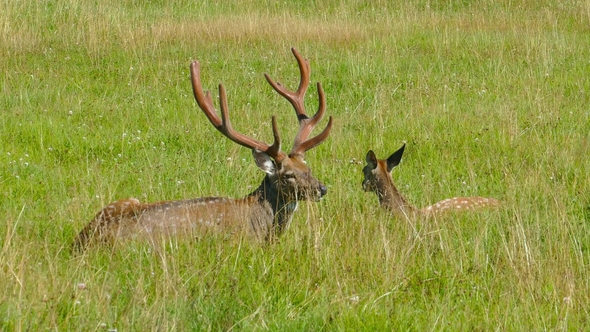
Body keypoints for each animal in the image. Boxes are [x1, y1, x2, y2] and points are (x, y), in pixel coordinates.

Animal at [74, 47, 332, 249]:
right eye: (288, 175)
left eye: (307, 168)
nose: (322, 188)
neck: (259, 224)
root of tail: (83, 240)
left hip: (126, 200)